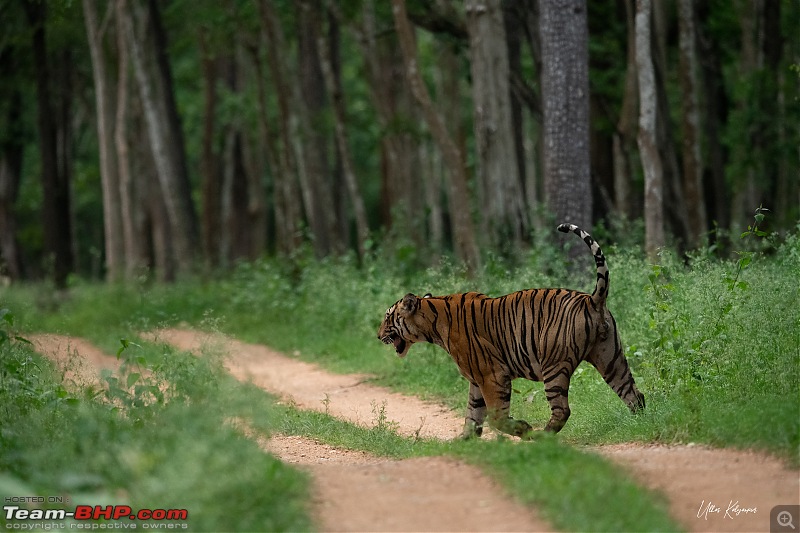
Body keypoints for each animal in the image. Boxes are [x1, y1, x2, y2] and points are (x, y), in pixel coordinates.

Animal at [378, 222, 648, 438]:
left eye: (388, 317)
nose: (378, 336)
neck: (433, 322)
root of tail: (592, 299)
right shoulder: (476, 380)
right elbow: (472, 416)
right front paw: (463, 442)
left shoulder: (492, 374)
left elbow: (496, 418)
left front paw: (522, 429)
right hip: (610, 357)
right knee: (634, 394)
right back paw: (641, 424)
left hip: (554, 364)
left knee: (562, 409)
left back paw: (541, 436)